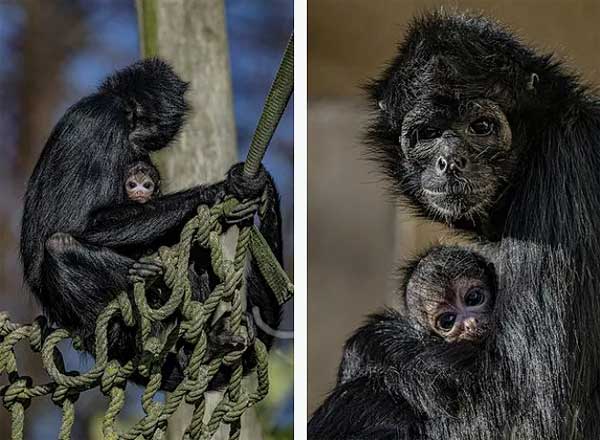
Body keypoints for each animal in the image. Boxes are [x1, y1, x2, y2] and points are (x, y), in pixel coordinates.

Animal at [310, 10, 600, 440]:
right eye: (428, 134)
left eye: (481, 127)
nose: (450, 161)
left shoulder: (567, 167)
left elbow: (536, 414)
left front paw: (372, 342)